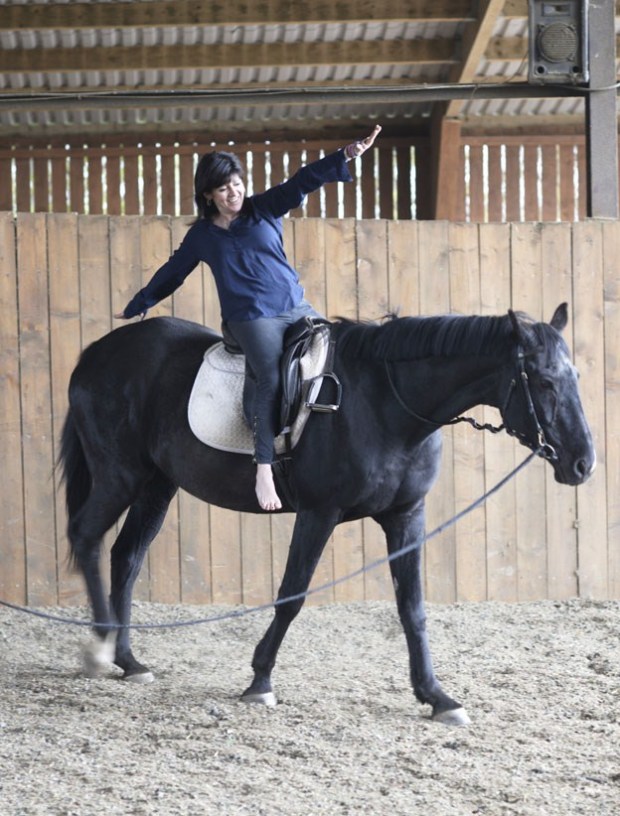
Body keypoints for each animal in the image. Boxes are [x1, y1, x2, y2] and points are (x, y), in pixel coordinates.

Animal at [59, 302, 595, 726]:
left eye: (576, 378)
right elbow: (291, 596)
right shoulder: (319, 513)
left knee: (126, 557)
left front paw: (437, 696)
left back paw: (130, 660)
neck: (384, 402)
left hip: (157, 484)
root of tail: (96, 354)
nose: (583, 464)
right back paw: (100, 649)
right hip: (120, 475)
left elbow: (413, 608)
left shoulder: (407, 517)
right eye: (545, 381)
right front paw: (260, 681)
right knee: (87, 537)